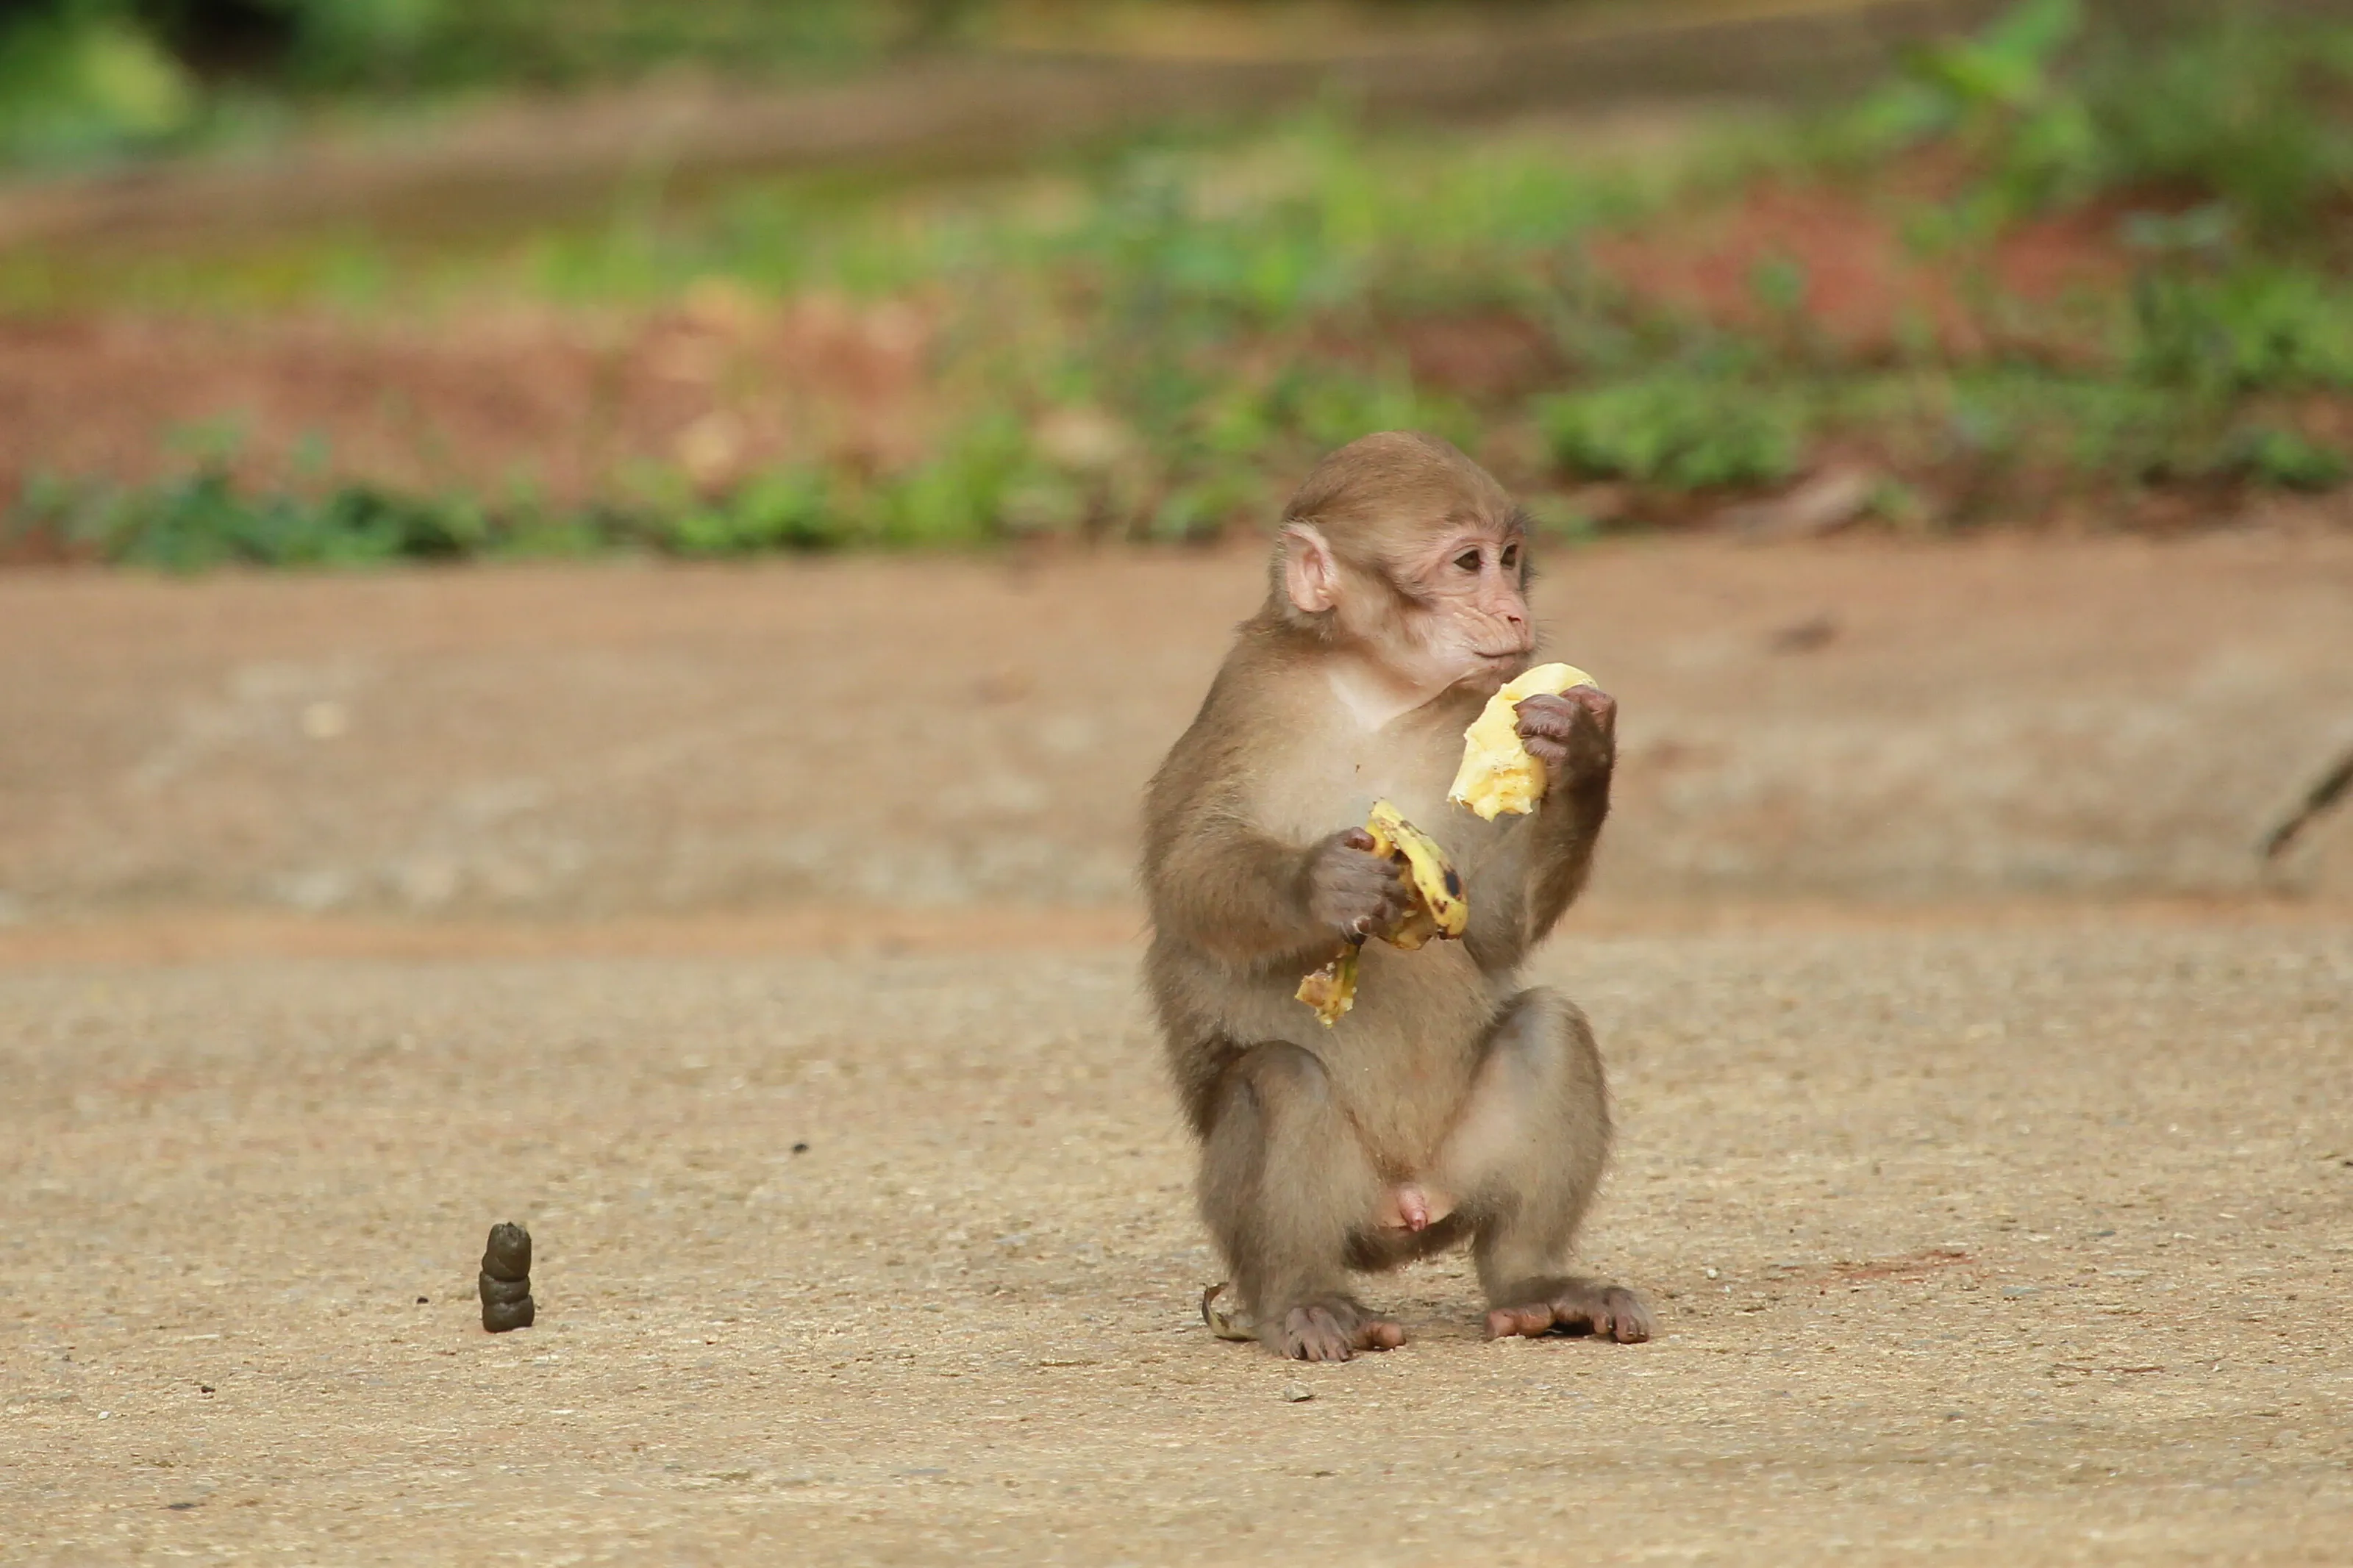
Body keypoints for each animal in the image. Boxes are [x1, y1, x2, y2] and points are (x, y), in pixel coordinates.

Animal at [1142, 430, 1651, 1362]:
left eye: (1509, 559)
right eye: (1465, 563)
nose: (1513, 614)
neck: (1374, 690)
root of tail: (1405, 1207)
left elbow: (1492, 929)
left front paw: (1582, 752)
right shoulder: (1246, 697)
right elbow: (1188, 878)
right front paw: (1322, 884)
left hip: (1458, 1168)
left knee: (1549, 1026)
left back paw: (1534, 1285)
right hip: (1342, 1200)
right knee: (1277, 1078)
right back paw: (1303, 1300)